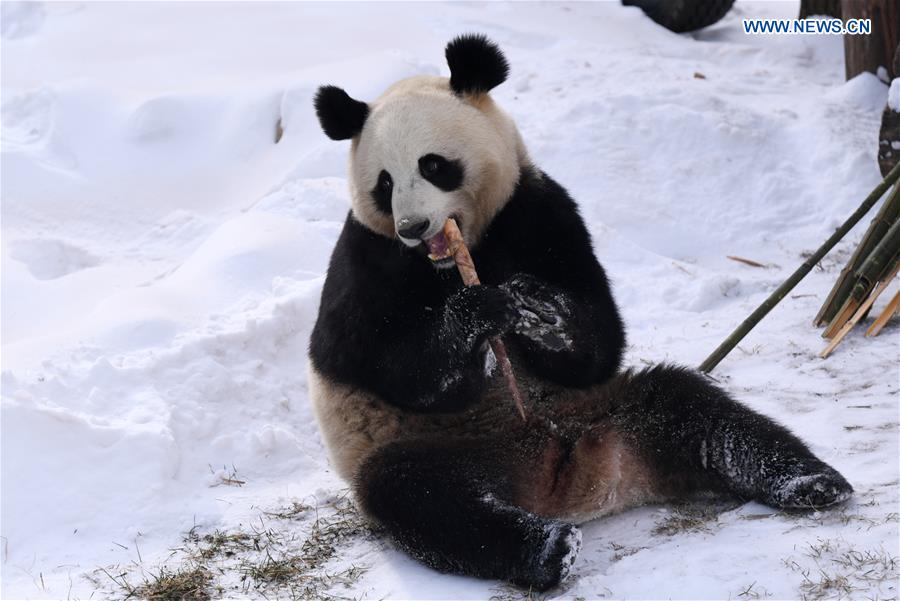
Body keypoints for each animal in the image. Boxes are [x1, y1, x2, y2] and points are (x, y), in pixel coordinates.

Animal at [308, 34, 853, 591]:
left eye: (433, 165)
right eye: (384, 184)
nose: (414, 227)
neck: (456, 257)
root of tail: (562, 477)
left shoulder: (536, 210)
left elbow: (597, 334)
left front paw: (539, 310)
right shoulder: (367, 256)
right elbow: (378, 359)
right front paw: (472, 318)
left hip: (606, 409)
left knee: (696, 411)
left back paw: (809, 481)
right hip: (439, 446)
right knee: (421, 497)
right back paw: (548, 549)